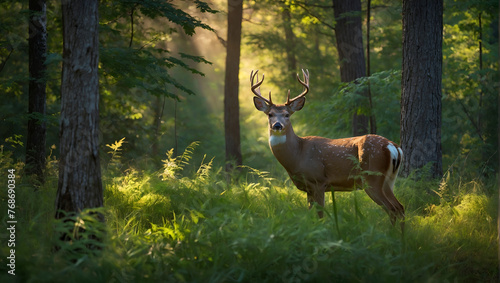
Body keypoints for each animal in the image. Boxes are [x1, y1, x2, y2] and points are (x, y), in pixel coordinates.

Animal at [252, 70, 404, 230]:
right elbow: (310, 214)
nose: (277, 125)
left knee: (392, 209)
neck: (297, 155)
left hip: (372, 177)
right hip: (389, 180)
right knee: (400, 207)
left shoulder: (319, 181)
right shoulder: (308, 188)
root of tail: (393, 147)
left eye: (287, 115)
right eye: (270, 114)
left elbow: (320, 215)